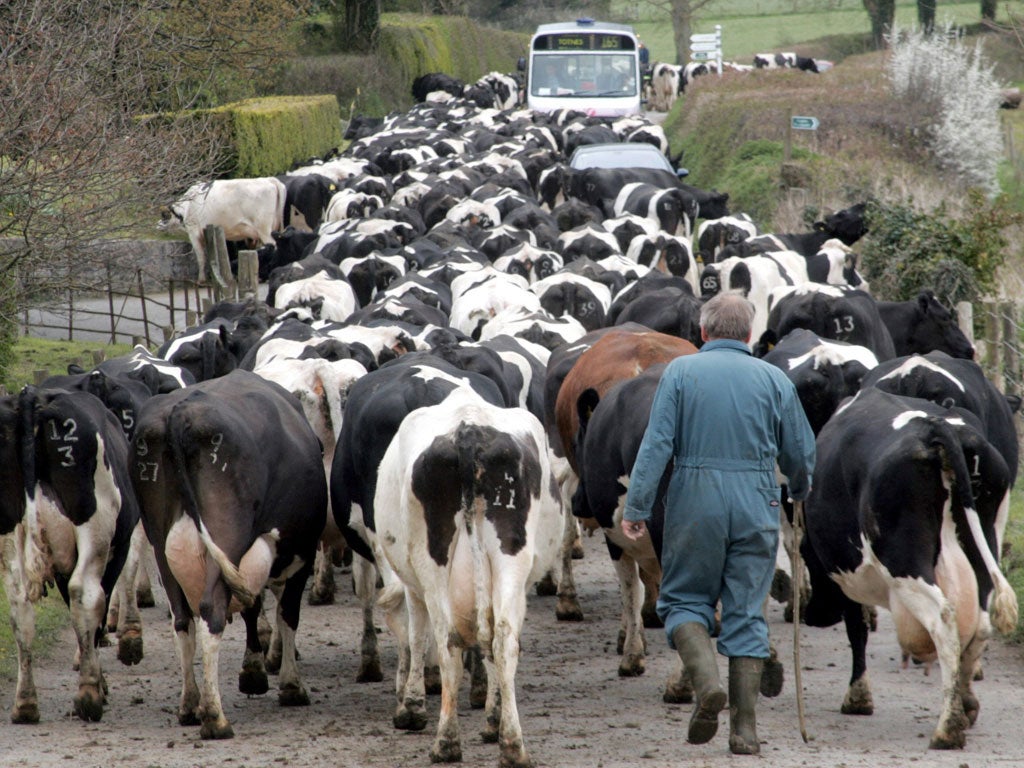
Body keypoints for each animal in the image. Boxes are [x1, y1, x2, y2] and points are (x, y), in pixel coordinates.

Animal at [1, 387, 141, 724]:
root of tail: (33, 398)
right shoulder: (116, 550)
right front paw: (99, 683)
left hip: (9, 532)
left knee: (19, 606)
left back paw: (25, 704)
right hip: (94, 530)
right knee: (84, 595)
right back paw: (88, 696)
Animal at [130, 372, 325, 741]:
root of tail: (180, 412)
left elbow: (253, 608)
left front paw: (253, 672)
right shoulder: (301, 557)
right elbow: (287, 614)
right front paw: (291, 685)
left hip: (161, 540)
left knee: (182, 620)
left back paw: (189, 705)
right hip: (226, 531)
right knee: (211, 610)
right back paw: (214, 717)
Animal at [374, 393, 565, 765]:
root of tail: (469, 430)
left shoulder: (413, 588)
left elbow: (417, 637)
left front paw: (411, 707)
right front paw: (493, 719)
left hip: (432, 563)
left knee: (447, 642)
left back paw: (446, 743)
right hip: (509, 555)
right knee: (502, 639)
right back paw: (512, 746)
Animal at [806, 387, 1015, 749]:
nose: (812, 616)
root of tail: (936, 428)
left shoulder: (849, 576)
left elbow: (857, 628)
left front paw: (858, 697)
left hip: (904, 561)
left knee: (943, 620)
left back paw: (948, 728)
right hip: (983, 543)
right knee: (980, 623)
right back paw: (965, 705)